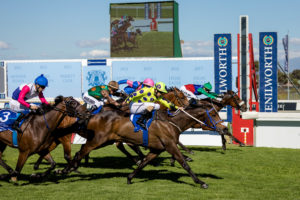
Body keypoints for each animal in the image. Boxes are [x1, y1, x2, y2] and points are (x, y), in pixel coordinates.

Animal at [62, 103, 229, 189]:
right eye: (213, 114)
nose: (224, 129)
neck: (171, 122)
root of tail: (92, 115)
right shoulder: (170, 145)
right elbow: (184, 163)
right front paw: (201, 182)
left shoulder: (157, 149)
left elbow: (143, 163)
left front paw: (130, 178)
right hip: (98, 141)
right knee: (80, 152)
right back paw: (65, 170)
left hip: (104, 141)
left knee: (81, 152)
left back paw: (70, 168)